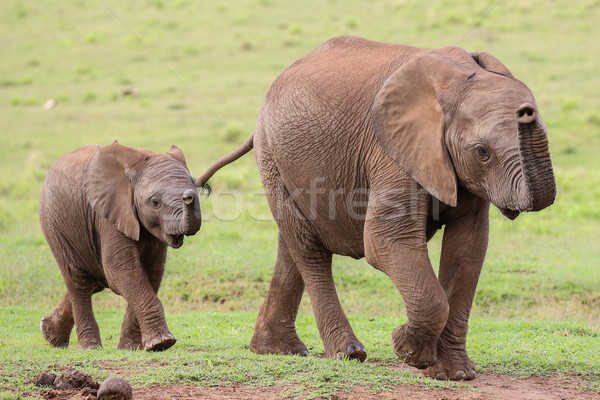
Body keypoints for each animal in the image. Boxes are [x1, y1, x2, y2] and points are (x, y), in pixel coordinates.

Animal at [39, 142, 205, 352]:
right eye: (155, 203)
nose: (189, 195)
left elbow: (151, 273)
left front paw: (131, 348)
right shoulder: (107, 213)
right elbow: (121, 270)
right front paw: (162, 342)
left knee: (95, 280)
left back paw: (50, 335)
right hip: (55, 225)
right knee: (79, 281)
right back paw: (89, 347)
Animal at [199, 36, 556, 382]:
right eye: (482, 152)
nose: (525, 111)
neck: (459, 81)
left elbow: (468, 248)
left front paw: (455, 374)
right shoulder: (391, 151)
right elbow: (386, 240)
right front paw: (406, 349)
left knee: (292, 245)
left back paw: (276, 350)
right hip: (272, 155)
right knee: (309, 249)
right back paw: (348, 353)